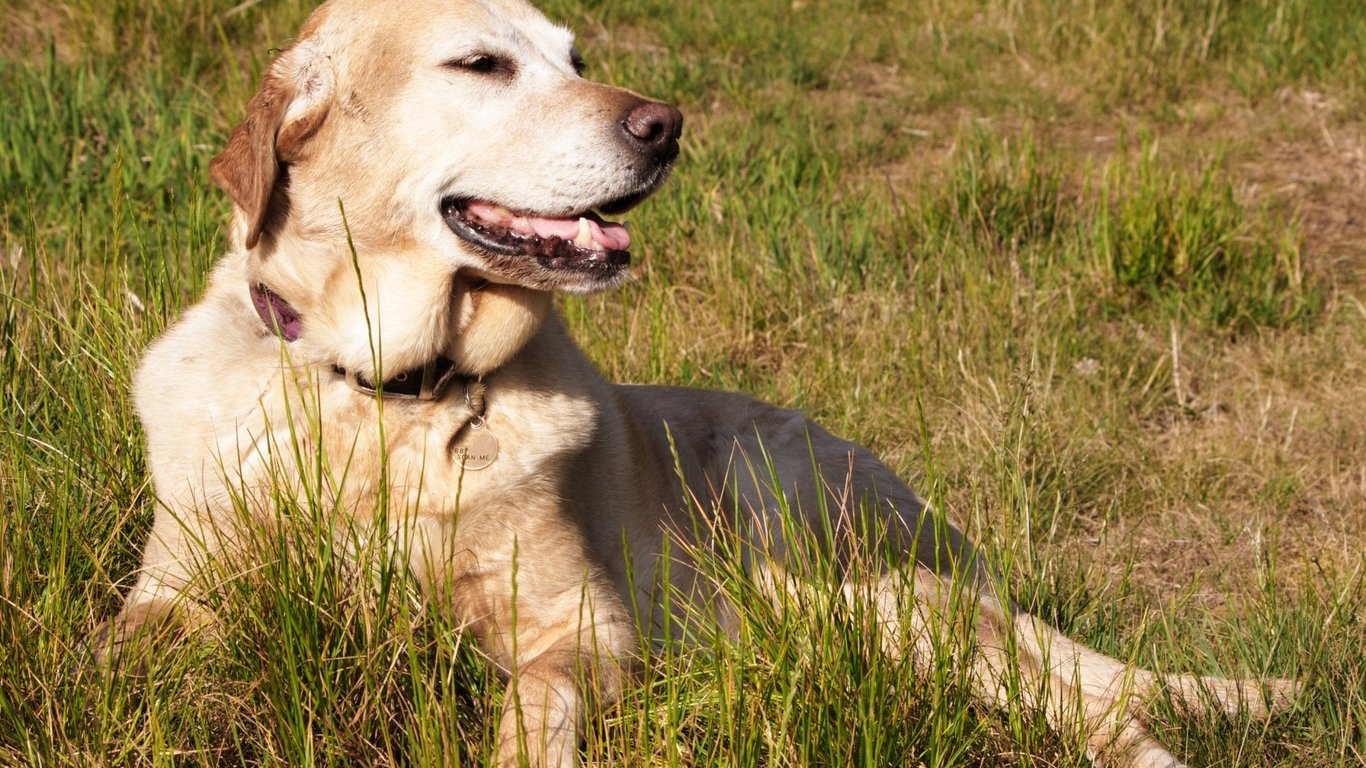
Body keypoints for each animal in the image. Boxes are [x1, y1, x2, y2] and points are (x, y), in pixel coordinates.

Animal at [103, 0, 1289, 759]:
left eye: (574, 53)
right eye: (481, 65)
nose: (664, 126)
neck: (384, 393)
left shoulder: (581, 628)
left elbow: (535, 708)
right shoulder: (175, 589)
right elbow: (118, 655)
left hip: (807, 526)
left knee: (1076, 690)